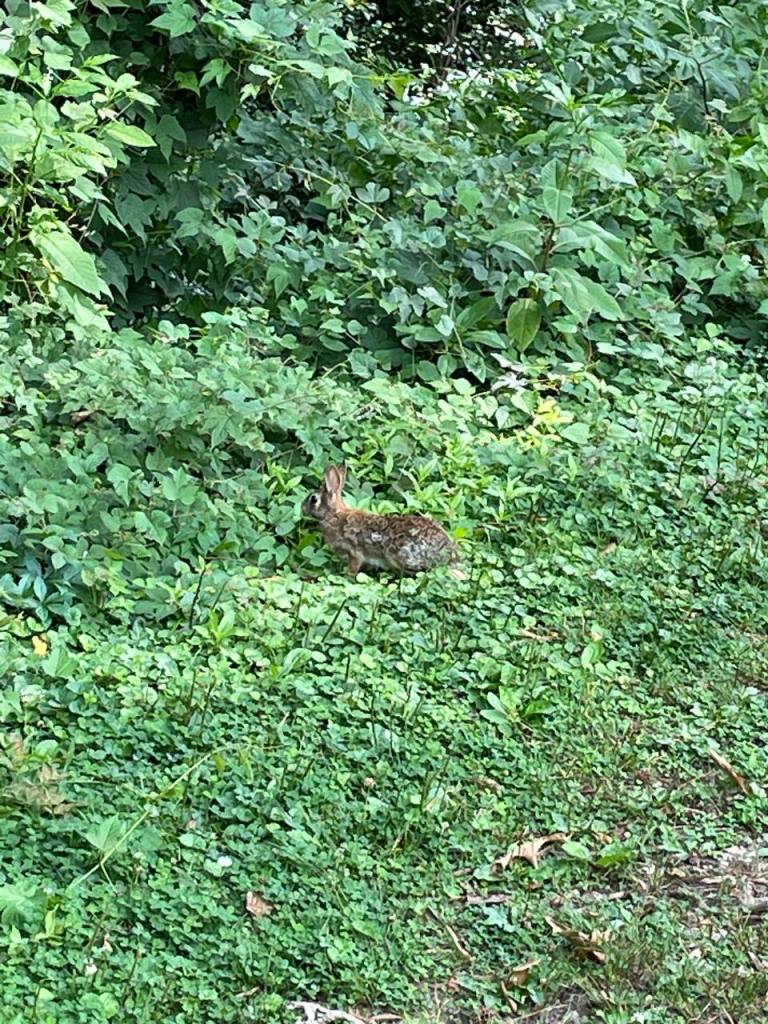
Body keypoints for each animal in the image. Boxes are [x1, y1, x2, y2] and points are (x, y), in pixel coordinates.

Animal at [302, 464, 466, 579]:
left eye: (313, 499)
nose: (302, 508)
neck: (334, 515)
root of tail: (448, 554)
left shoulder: (354, 552)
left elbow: (353, 567)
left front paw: (346, 575)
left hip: (400, 555)